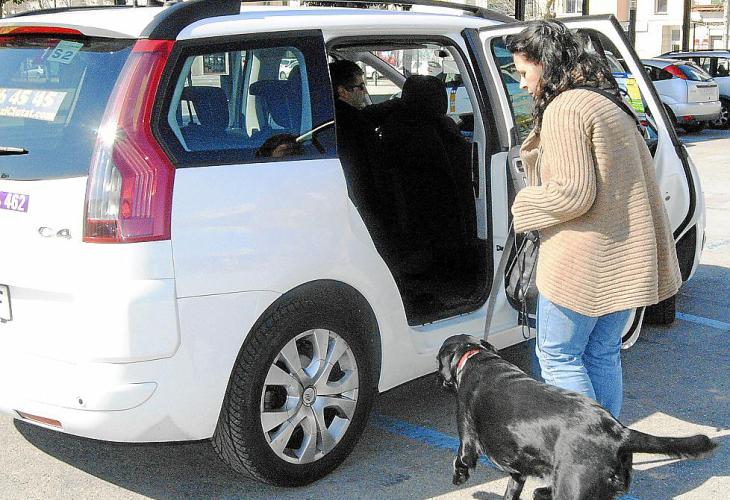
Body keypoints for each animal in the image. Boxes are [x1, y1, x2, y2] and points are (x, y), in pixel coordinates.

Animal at [436, 334, 712, 498]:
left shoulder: (468, 439)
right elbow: (512, 488)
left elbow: (462, 459)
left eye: (438, 361)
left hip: (571, 486)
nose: (439, 380)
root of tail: (619, 432)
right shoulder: (518, 467)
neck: (476, 356)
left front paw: (459, 476)